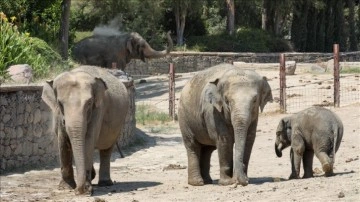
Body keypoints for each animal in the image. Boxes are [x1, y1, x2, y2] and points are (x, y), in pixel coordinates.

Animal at [41, 65, 129, 195]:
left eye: (89, 103)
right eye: (60, 103)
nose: (80, 191)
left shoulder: (98, 110)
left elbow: (88, 139)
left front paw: (86, 189)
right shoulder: (58, 114)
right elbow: (63, 141)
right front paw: (66, 187)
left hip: (119, 122)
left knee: (106, 149)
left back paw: (104, 183)